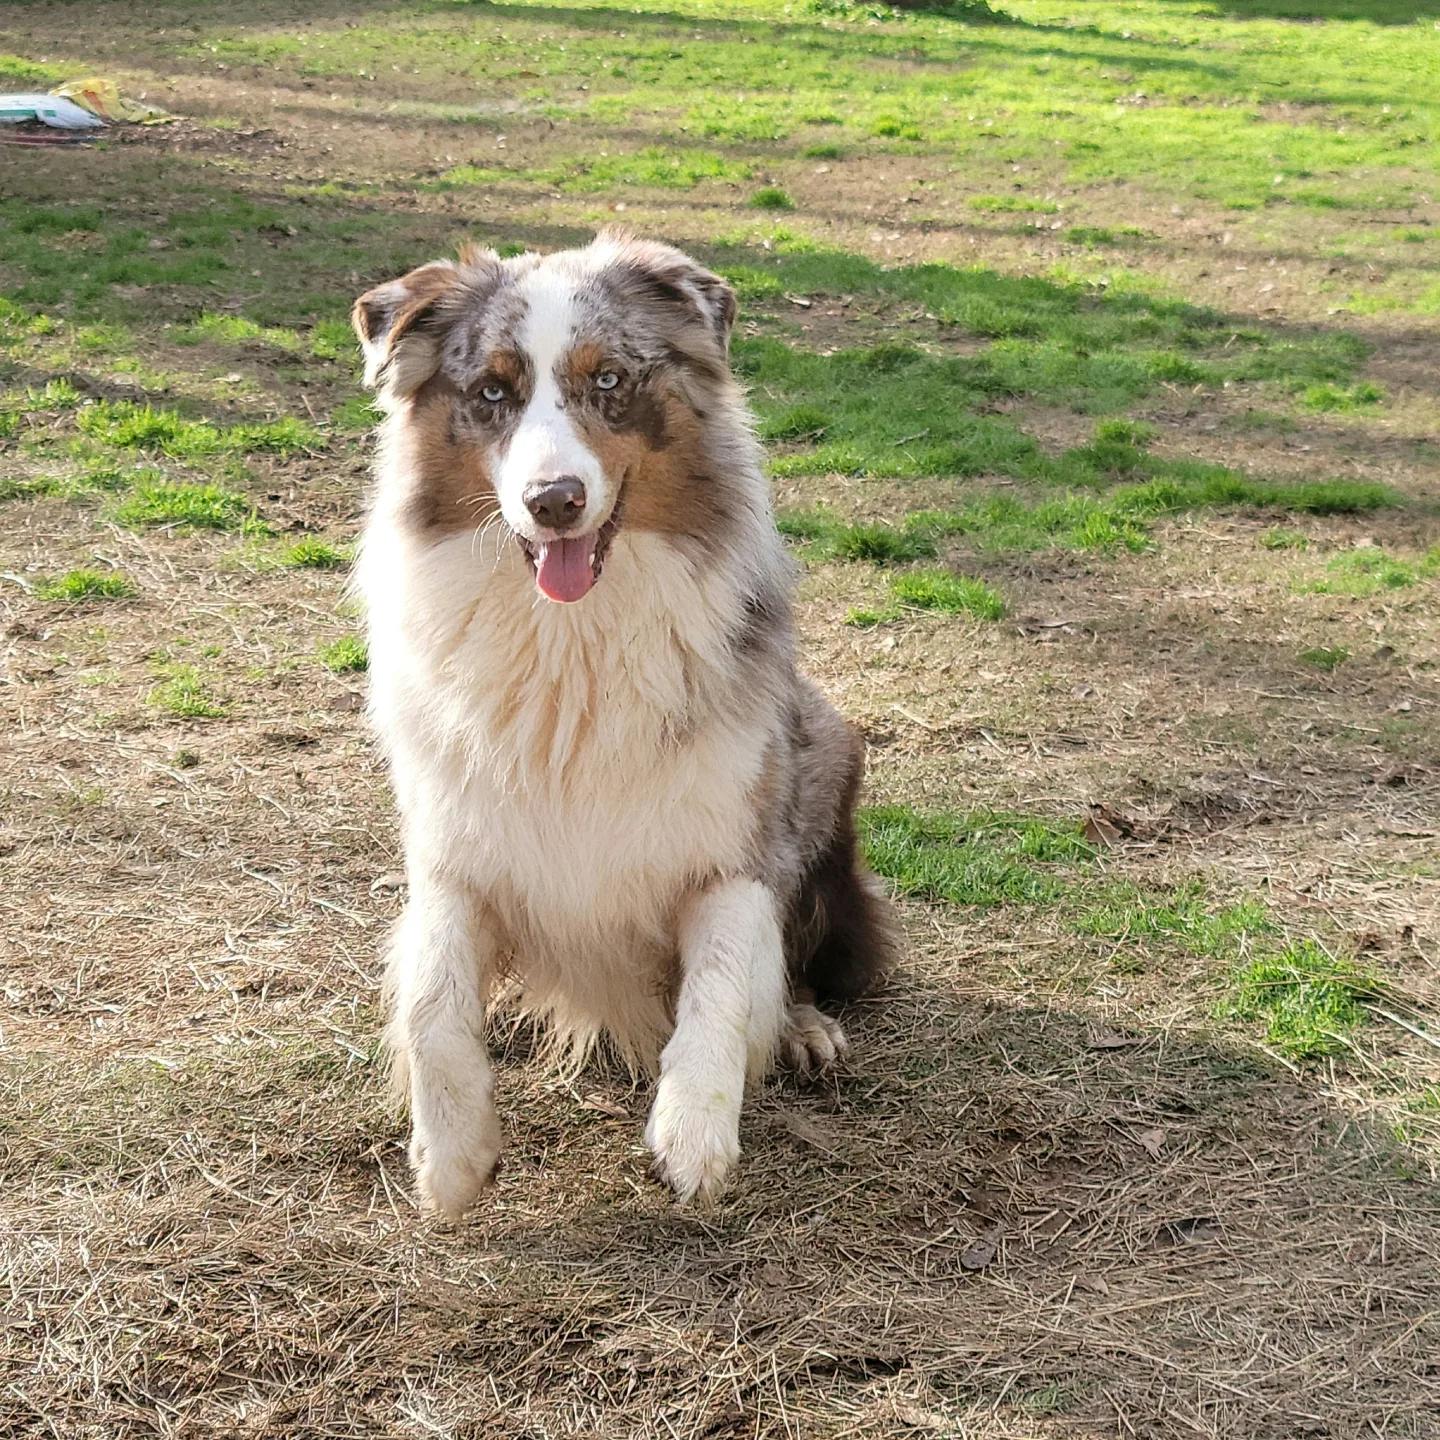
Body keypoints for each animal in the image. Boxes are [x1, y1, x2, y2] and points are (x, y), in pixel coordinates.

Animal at [351, 231, 896, 1214]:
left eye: (607, 380)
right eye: (493, 392)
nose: (554, 500)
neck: (574, 644)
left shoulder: (732, 852)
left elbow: (721, 985)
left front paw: (695, 1136)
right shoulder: (454, 854)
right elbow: (431, 997)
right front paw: (450, 1155)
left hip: (827, 758)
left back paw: (804, 1030)